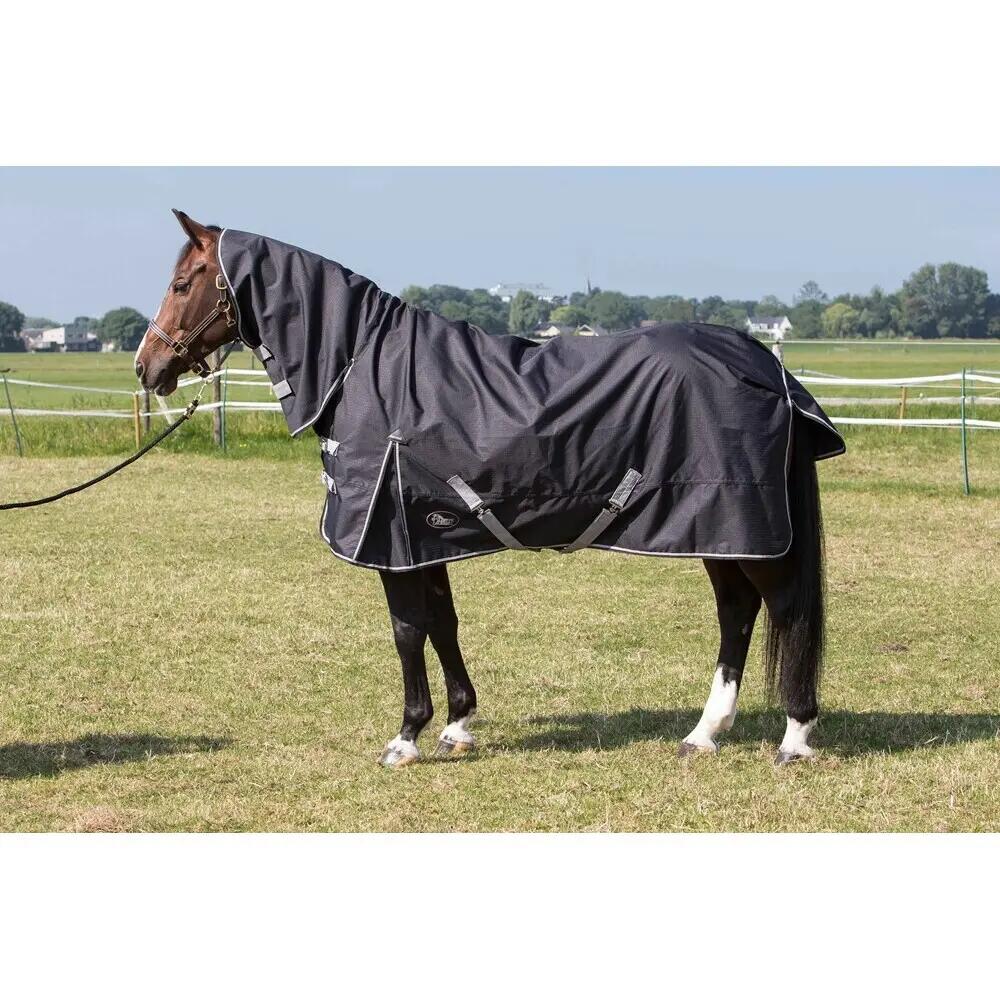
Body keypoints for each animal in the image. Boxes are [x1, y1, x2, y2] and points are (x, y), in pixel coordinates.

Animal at [135, 209, 844, 767]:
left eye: (180, 284)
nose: (147, 367)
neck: (363, 365)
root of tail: (769, 367)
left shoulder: (390, 540)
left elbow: (406, 630)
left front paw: (406, 738)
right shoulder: (424, 536)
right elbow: (442, 623)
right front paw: (457, 725)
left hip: (745, 528)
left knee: (784, 610)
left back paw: (795, 737)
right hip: (720, 532)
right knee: (737, 613)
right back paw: (703, 734)